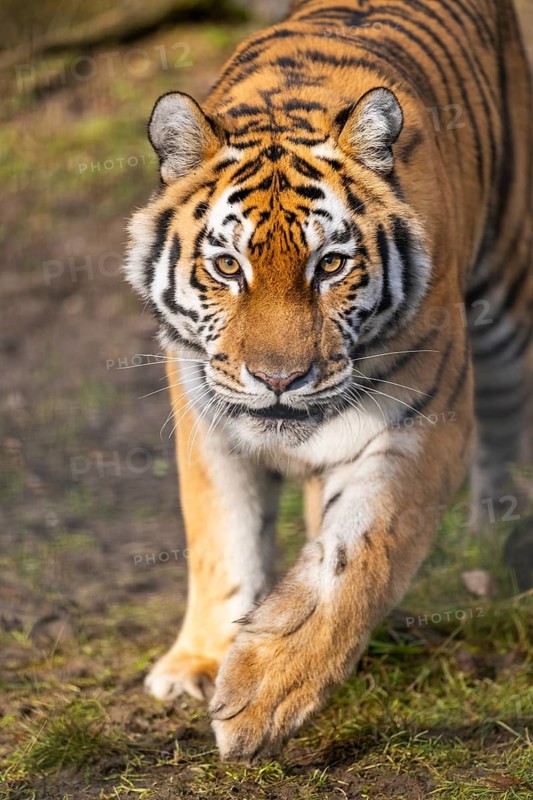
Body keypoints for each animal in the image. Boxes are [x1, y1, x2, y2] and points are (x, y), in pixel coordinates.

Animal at [125, 0, 533, 762]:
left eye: (331, 265)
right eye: (228, 267)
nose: (278, 378)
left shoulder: (419, 424)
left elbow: (359, 555)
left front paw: (263, 695)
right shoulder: (207, 420)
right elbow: (221, 539)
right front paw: (198, 661)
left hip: (505, 296)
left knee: (502, 427)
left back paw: (489, 544)